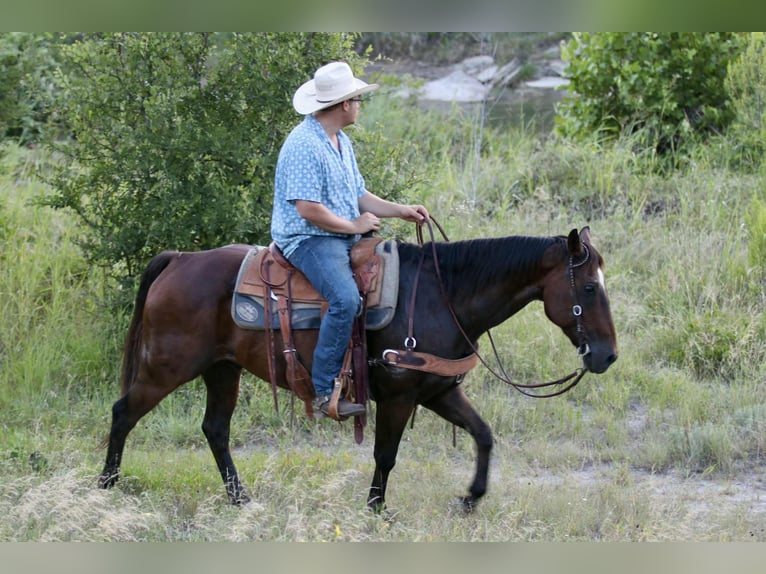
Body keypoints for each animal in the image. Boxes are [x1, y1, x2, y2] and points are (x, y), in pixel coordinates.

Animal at [98, 225, 617, 512]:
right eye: (590, 288)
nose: (608, 356)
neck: (443, 296)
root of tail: (179, 259)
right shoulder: (399, 397)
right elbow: (385, 456)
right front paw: (376, 509)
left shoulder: (439, 391)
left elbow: (484, 434)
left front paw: (471, 498)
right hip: (168, 367)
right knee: (123, 412)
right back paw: (106, 486)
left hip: (222, 369)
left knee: (215, 429)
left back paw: (239, 499)